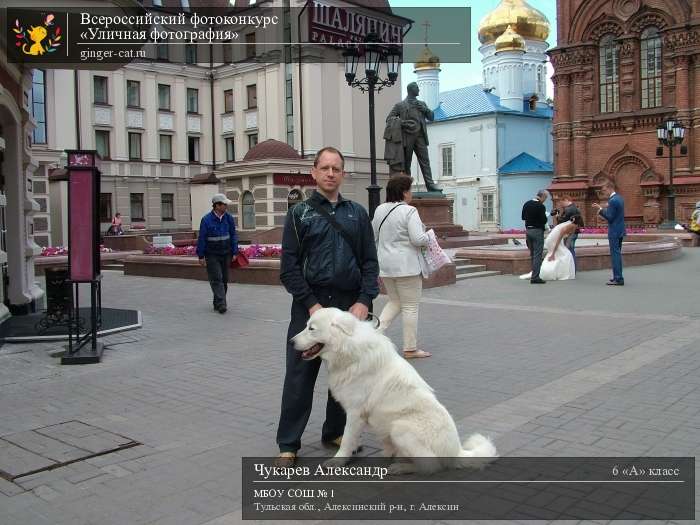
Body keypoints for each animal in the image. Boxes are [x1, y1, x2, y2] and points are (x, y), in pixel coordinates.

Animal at [292, 304, 498, 472]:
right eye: (306, 325)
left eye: (311, 329)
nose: (291, 342)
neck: (349, 349)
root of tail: (456, 451)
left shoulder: (355, 412)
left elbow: (347, 440)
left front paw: (337, 461)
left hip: (400, 427)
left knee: (430, 466)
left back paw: (400, 467)